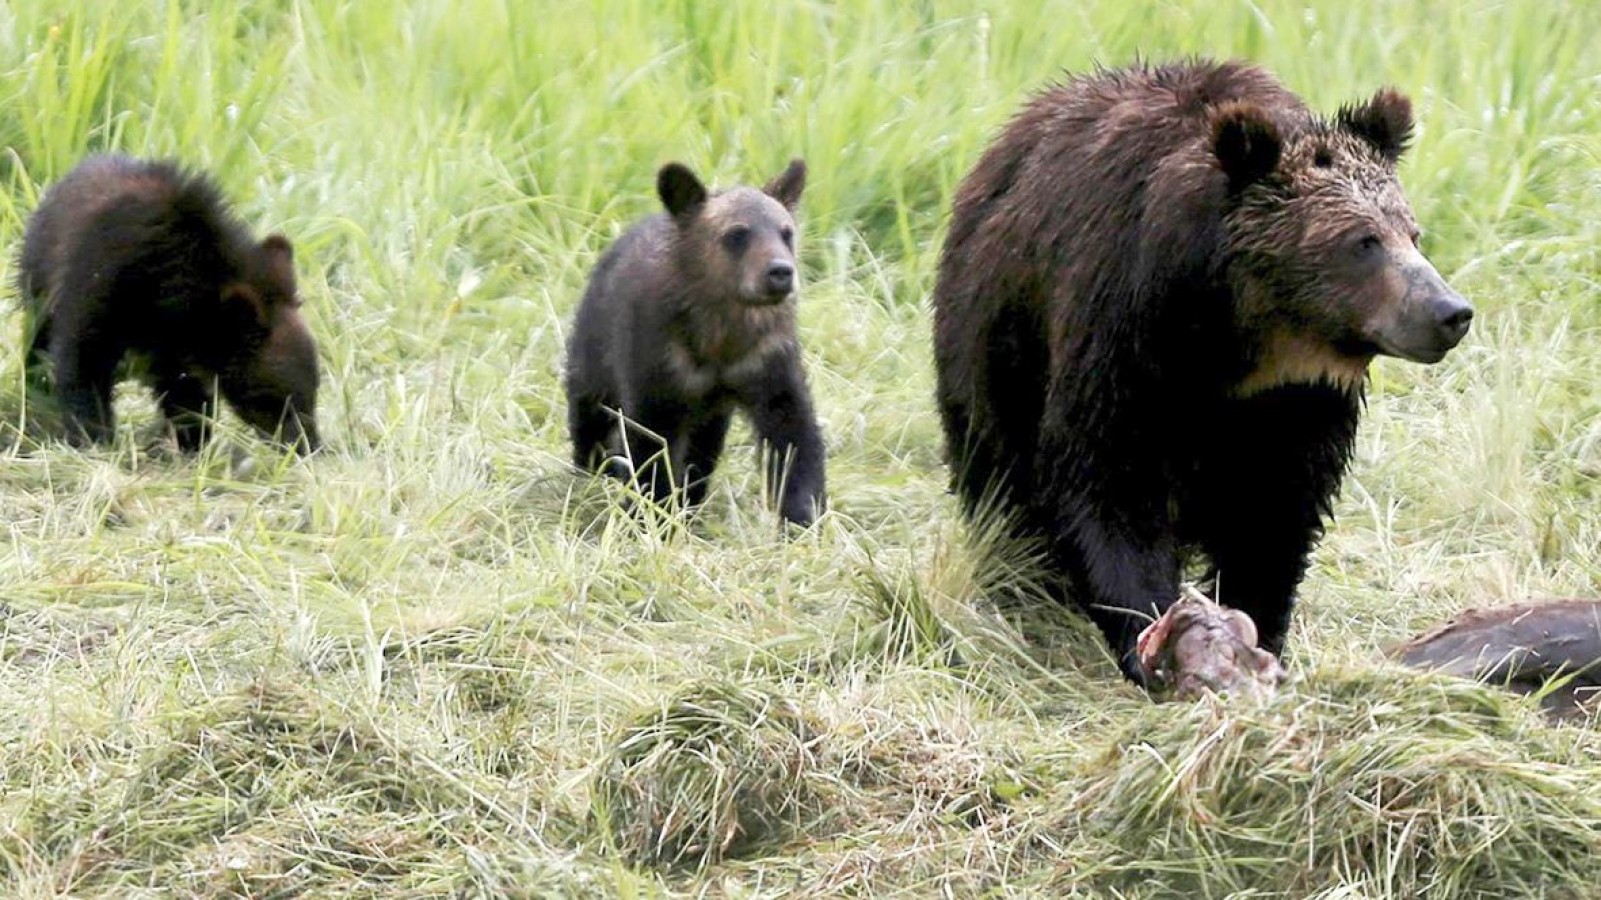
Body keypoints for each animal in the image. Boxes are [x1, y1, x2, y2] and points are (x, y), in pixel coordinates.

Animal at [934, 61, 1466, 679]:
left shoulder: (1298, 401)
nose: (1450, 312)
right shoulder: (1120, 335)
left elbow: (1275, 511)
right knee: (1000, 484)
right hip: (994, 346)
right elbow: (1109, 484)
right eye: (1363, 241)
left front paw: (1256, 627)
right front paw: (1153, 633)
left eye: (1412, 232)